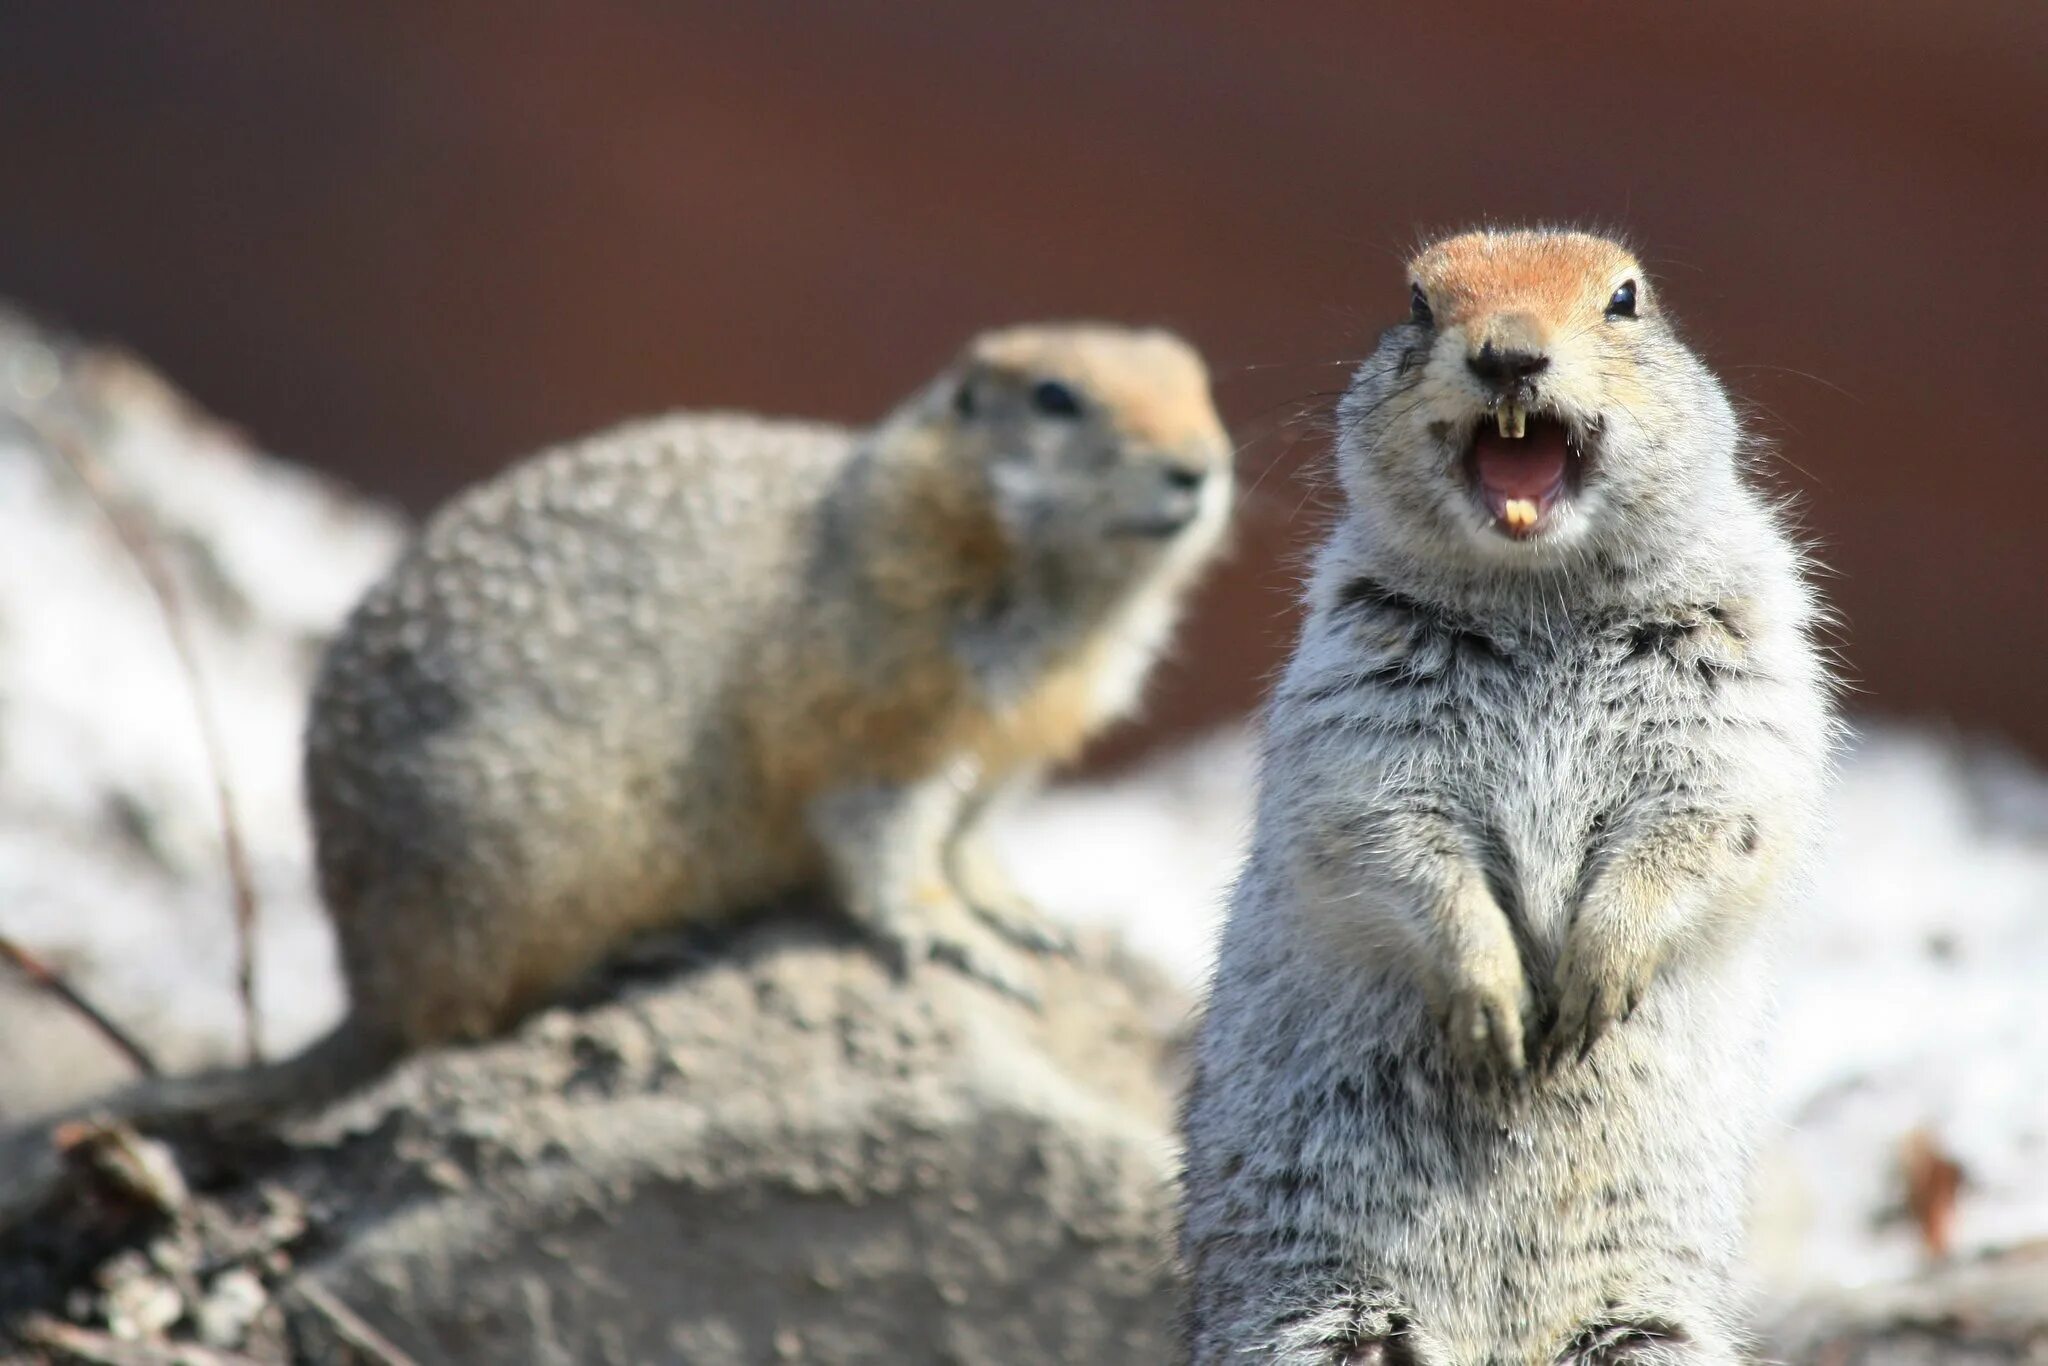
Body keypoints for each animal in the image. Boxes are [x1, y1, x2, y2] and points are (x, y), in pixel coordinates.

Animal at [1179, 229, 1835, 1359]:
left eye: (1625, 298)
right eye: (1415, 301)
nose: (1509, 356)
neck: (1541, 591)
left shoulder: (1736, 699)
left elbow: (1704, 825)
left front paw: (1589, 982)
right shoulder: (1358, 713)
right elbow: (1391, 842)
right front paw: (1494, 1006)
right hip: (1320, 1319)